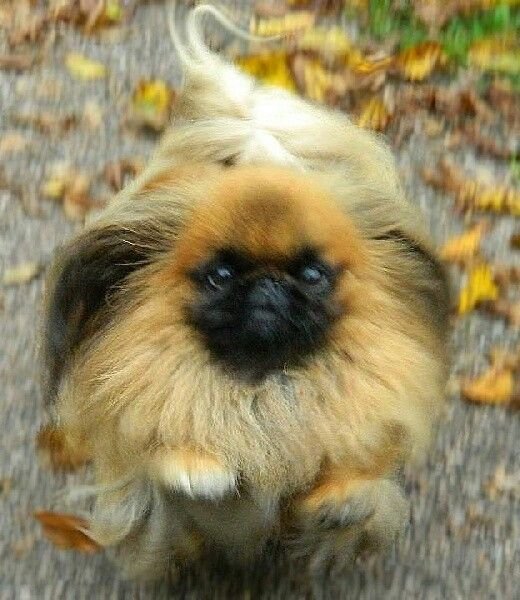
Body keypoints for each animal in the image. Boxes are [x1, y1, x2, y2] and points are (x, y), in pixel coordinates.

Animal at [38, 2, 448, 580]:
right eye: (222, 275)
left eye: (313, 274)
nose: (268, 286)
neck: (261, 389)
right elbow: (177, 468)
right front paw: (199, 466)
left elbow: (358, 490)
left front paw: (340, 500)